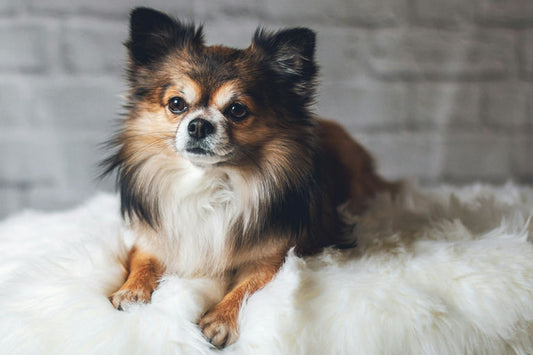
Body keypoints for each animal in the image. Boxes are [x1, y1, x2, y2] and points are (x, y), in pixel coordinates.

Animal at [103, 6, 394, 350]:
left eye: (237, 110)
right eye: (176, 104)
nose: (198, 125)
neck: (210, 180)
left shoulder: (273, 258)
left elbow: (246, 287)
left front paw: (219, 320)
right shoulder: (156, 238)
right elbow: (142, 262)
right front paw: (132, 290)